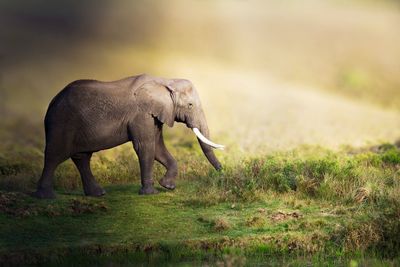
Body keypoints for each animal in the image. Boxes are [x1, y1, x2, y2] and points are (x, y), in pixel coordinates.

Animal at [32, 73, 223, 199]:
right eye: (190, 105)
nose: (221, 171)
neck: (165, 80)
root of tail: (52, 102)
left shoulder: (154, 115)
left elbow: (157, 147)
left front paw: (167, 186)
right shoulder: (141, 114)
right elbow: (145, 146)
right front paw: (150, 193)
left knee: (82, 157)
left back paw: (97, 194)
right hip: (62, 123)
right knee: (55, 155)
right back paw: (46, 197)